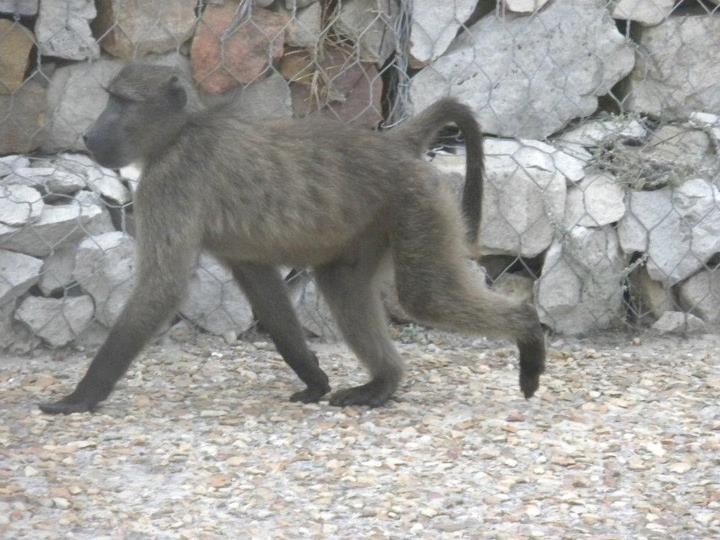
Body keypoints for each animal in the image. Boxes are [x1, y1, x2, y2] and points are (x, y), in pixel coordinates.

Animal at [39, 64, 545, 414]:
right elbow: (267, 297)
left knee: (426, 297)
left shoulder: (168, 183)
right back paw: (381, 385)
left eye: (121, 102)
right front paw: (314, 378)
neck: (180, 133)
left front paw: (79, 398)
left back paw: (528, 332)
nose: (88, 135)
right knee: (343, 287)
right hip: (379, 222)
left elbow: (161, 288)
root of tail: (394, 144)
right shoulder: (240, 253)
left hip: (418, 205)